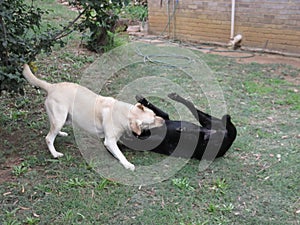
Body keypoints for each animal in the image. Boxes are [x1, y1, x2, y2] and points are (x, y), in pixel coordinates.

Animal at [22, 64, 164, 171]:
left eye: (154, 114)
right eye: (152, 121)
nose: (163, 121)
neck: (123, 113)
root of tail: (52, 86)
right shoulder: (109, 141)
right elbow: (120, 154)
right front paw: (127, 164)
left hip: (63, 119)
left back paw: (60, 133)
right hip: (59, 118)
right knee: (48, 138)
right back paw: (55, 154)